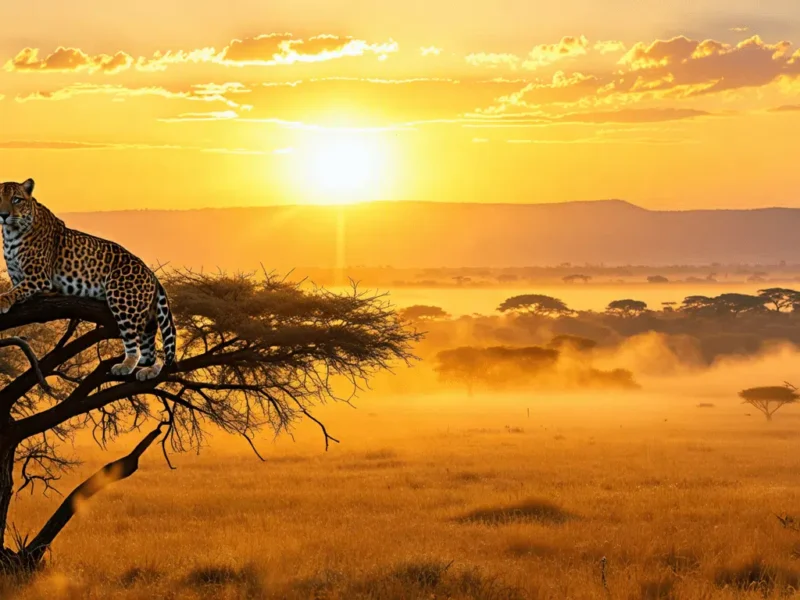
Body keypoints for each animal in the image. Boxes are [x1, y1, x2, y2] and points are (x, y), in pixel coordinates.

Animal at [0, 178, 176, 381]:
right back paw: (149, 370)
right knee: (151, 352)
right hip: (146, 315)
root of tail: (152, 275)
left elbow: (15, 291)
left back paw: (126, 366)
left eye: (16, 199)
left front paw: (2, 301)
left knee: (136, 345)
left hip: (122, 299)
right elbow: (18, 290)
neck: (10, 234)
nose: (3, 215)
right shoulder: (19, 277)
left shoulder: (39, 277)